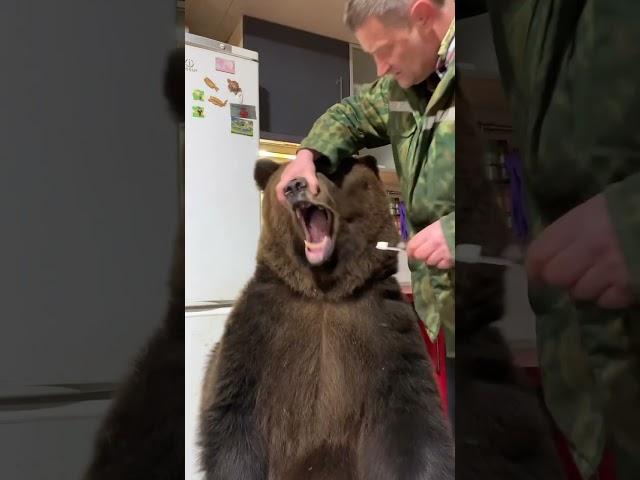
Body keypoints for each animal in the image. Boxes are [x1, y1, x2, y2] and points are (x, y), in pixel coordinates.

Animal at [198, 156, 452, 478]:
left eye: (330, 168)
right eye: (287, 176)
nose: (296, 186)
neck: (324, 291)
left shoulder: (386, 332)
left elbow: (412, 428)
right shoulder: (259, 331)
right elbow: (235, 418)